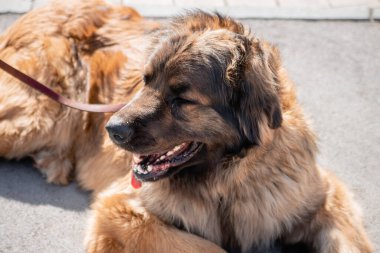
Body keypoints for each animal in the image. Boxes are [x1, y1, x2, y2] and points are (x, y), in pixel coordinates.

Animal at [0, 0, 374, 253]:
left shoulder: (324, 198)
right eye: (145, 81)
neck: (227, 179)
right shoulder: (118, 212)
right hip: (36, 119)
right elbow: (212, 247)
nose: (112, 129)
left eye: (181, 98)